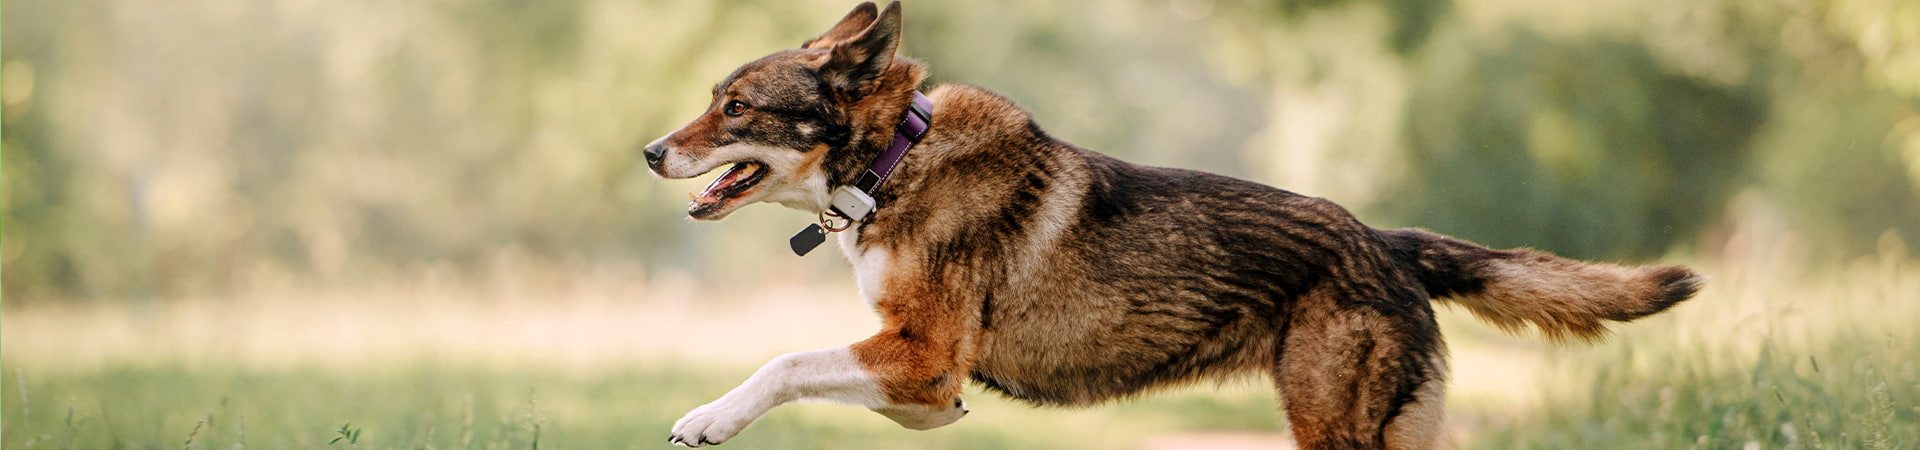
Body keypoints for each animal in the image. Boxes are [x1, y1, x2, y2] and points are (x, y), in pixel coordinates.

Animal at [648, 2, 1712, 446]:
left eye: (736, 108)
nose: (652, 152)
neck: (893, 164)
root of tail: (1387, 243)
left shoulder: (922, 350)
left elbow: (782, 363)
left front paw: (707, 420)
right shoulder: (920, 371)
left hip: (1336, 429)